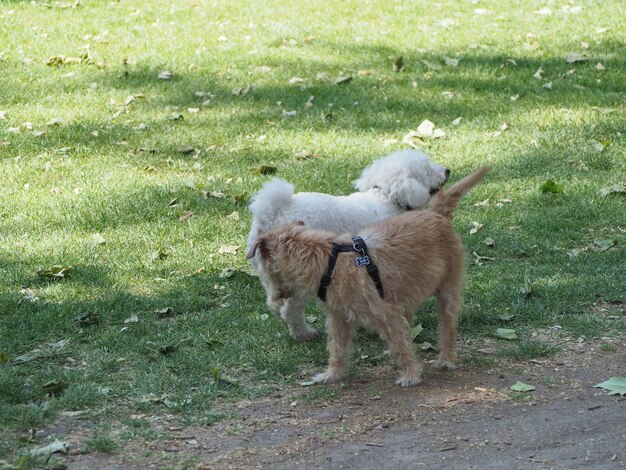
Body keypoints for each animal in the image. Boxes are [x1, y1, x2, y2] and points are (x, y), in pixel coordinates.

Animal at [245, 149, 448, 340]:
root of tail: (270, 213)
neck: (385, 196)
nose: (447, 170)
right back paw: (305, 334)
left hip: (269, 274)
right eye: (428, 169)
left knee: (275, 304)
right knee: (290, 309)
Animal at [246, 168, 486, 386]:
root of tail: (435, 214)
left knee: (447, 327)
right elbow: (338, 348)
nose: (275, 296)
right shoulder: (339, 318)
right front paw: (332, 374)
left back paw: (446, 359)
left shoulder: (386, 313)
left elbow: (399, 346)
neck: (329, 261)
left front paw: (410, 374)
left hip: (447, 291)